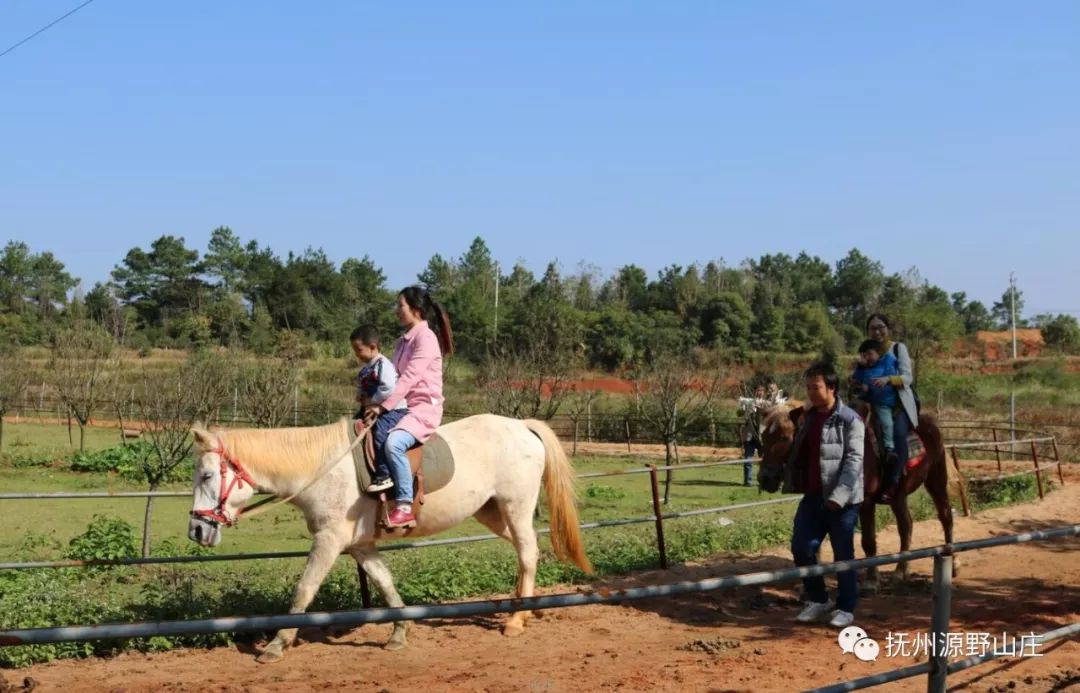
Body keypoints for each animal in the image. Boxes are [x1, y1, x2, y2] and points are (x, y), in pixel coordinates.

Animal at [185, 412, 591, 660]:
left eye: (206, 475)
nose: (196, 530)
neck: (322, 468)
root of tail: (522, 426)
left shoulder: (329, 542)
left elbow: (304, 589)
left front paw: (276, 644)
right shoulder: (360, 546)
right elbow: (386, 584)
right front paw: (398, 633)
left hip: (515, 506)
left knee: (527, 552)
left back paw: (517, 620)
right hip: (492, 512)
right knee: (525, 552)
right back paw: (520, 606)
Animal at [756, 399, 959, 587]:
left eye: (784, 437)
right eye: (764, 436)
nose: (765, 478)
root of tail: (932, 426)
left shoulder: (866, 501)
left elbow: (868, 541)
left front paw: (871, 580)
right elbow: (815, 543)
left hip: (936, 481)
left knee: (945, 517)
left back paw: (952, 561)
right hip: (898, 496)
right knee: (906, 526)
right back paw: (902, 571)